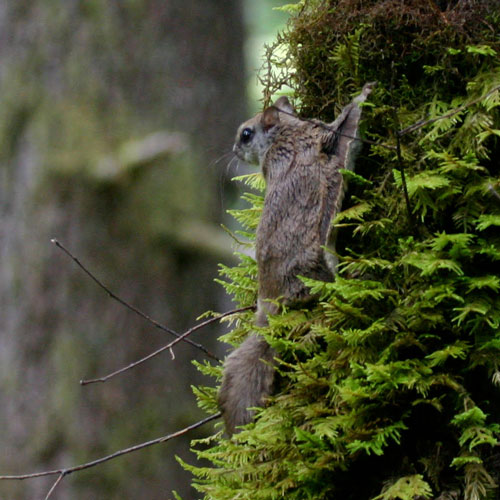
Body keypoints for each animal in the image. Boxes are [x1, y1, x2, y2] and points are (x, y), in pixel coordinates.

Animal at [219, 82, 376, 434]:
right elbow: (345, 125)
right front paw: (363, 96)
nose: (234, 150)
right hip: (312, 267)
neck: (286, 133)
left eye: (246, 134)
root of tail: (269, 304)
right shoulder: (323, 139)